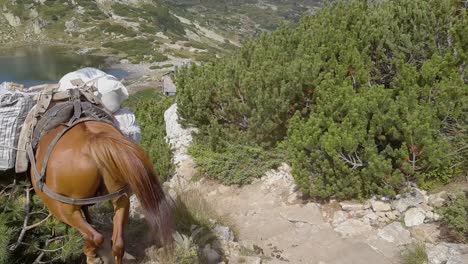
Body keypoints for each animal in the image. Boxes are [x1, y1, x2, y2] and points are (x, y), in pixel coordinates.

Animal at [31, 121, 174, 264]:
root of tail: (92, 139)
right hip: (120, 197)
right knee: (118, 244)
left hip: (62, 208)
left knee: (95, 236)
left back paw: (92, 255)